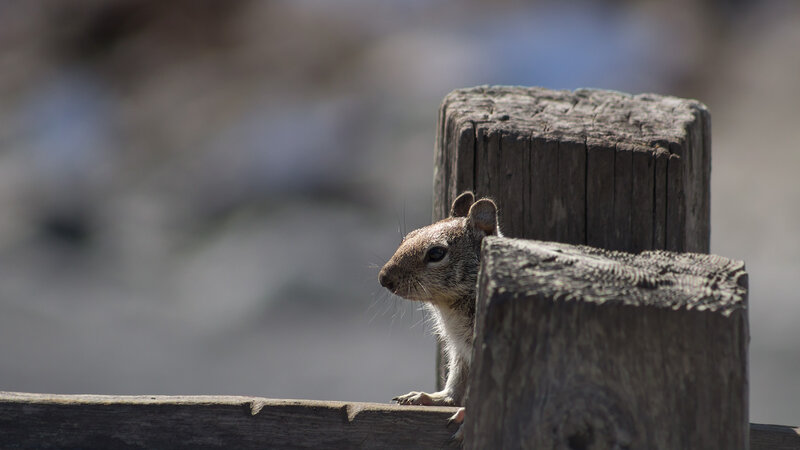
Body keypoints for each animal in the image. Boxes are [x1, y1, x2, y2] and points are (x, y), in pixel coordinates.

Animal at [378, 191, 501, 429]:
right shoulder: (460, 350)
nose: (383, 278)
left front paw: (466, 415)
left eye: (436, 253)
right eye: (408, 236)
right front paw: (430, 398)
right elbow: (456, 383)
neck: (449, 307)